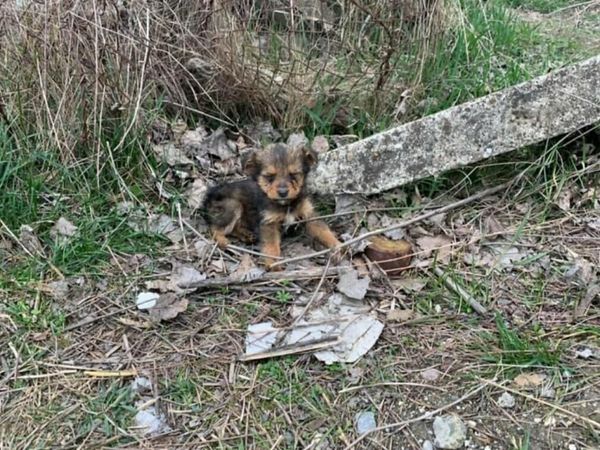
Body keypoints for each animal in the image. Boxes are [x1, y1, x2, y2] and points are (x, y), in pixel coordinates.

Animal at [203, 144, 340, 268]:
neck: (286, 205)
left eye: (294, 174)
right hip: (233, 205)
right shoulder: (269, 222)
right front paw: (274, 265)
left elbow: (323, 230)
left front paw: (337, 246)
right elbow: (271, 247)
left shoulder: (309, 214)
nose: (283, 192)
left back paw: (246, 235)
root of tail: (210, 194)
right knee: (214, 227)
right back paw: (223, 241)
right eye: (269, 176)